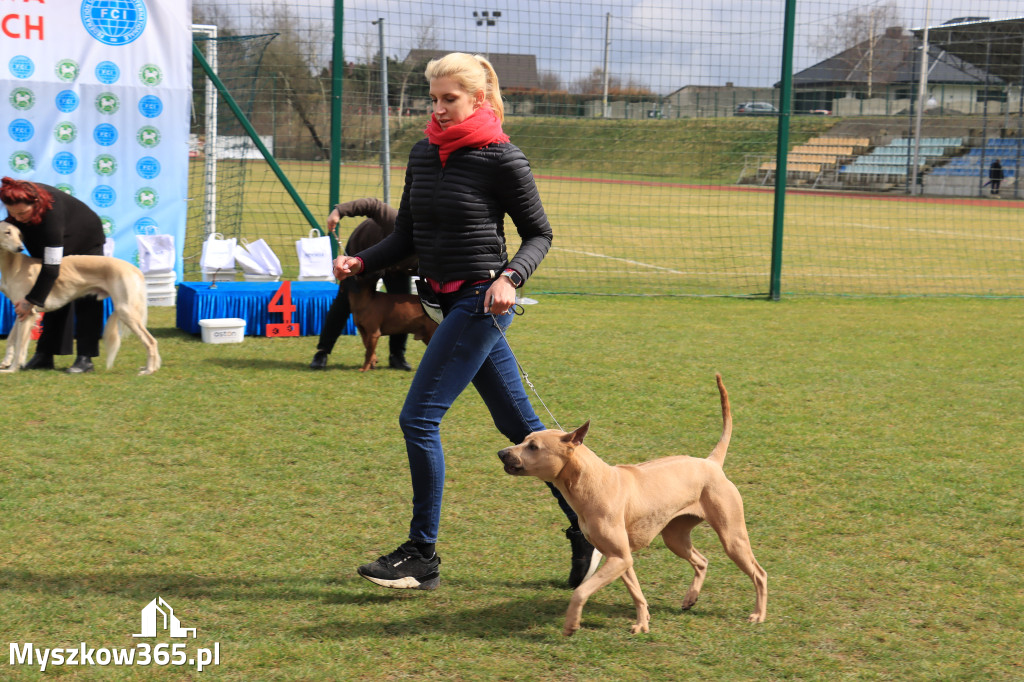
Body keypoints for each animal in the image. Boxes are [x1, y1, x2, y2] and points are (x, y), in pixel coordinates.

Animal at [0, 222, 159, 372]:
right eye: (7, 232)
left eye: (19, 235)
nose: (20, 248)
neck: (14, 266)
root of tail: (134, 268)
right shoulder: (21, 310)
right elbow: (11, 339)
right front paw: (5, 362)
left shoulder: (28, 313)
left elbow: (20, 346)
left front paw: (12, 369)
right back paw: (151, 367)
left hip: (126, 310)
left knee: (151, 341)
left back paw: (149, 370)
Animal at [495, 372, 770, 630]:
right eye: (523, 440)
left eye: (533, 447)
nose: (501, 453)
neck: (593, 483)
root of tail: (711, 462)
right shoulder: (619, 557)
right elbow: (636, 592)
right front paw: (642, 622)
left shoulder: (619, 557)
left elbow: (581, 591)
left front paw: (572, 623)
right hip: (675, 537)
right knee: (702, 561)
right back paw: (690, 598)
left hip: (732, 537)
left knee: (760, 573)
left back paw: (758, 615)